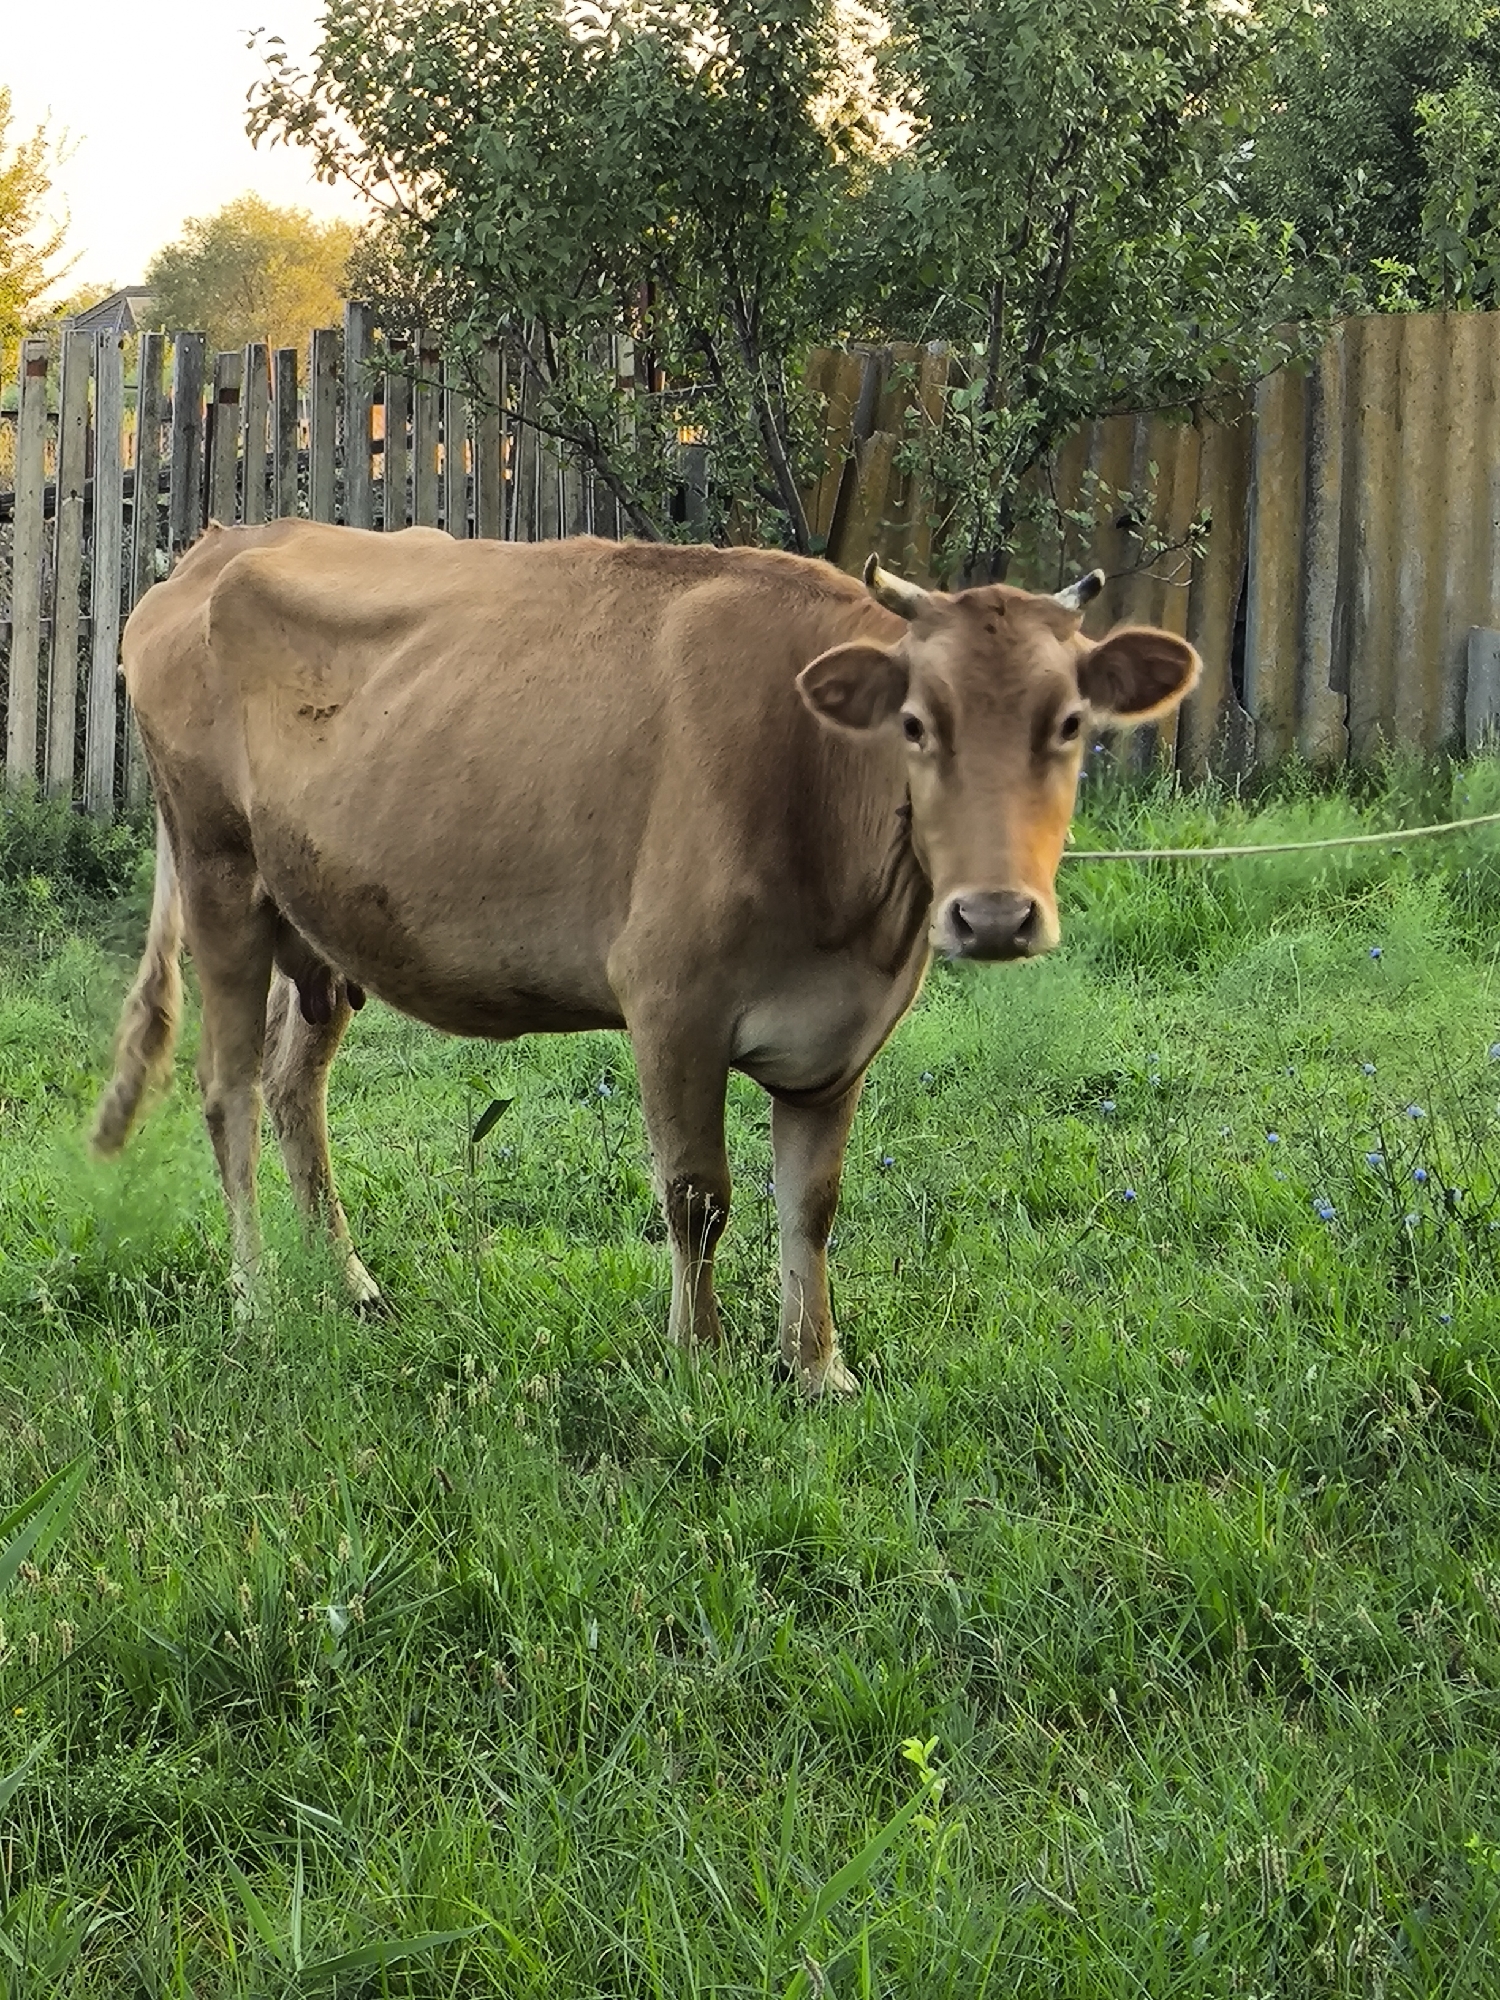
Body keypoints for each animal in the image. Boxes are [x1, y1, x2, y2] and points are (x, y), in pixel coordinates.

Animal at [91, 522, 1198, 1394]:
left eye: (1069, 723)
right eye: (917, 724)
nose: (995, 917)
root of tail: (215, 547)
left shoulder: (841, 1033)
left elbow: (813, 1202)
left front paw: (818, 1366)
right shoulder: (671, 1001)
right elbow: (698, 1196)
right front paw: (699, 1359)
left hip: (317, 920)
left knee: (294, 1088)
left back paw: (353, 1285)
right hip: (220, 873)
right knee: (229, 1089)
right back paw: (258, 1300)